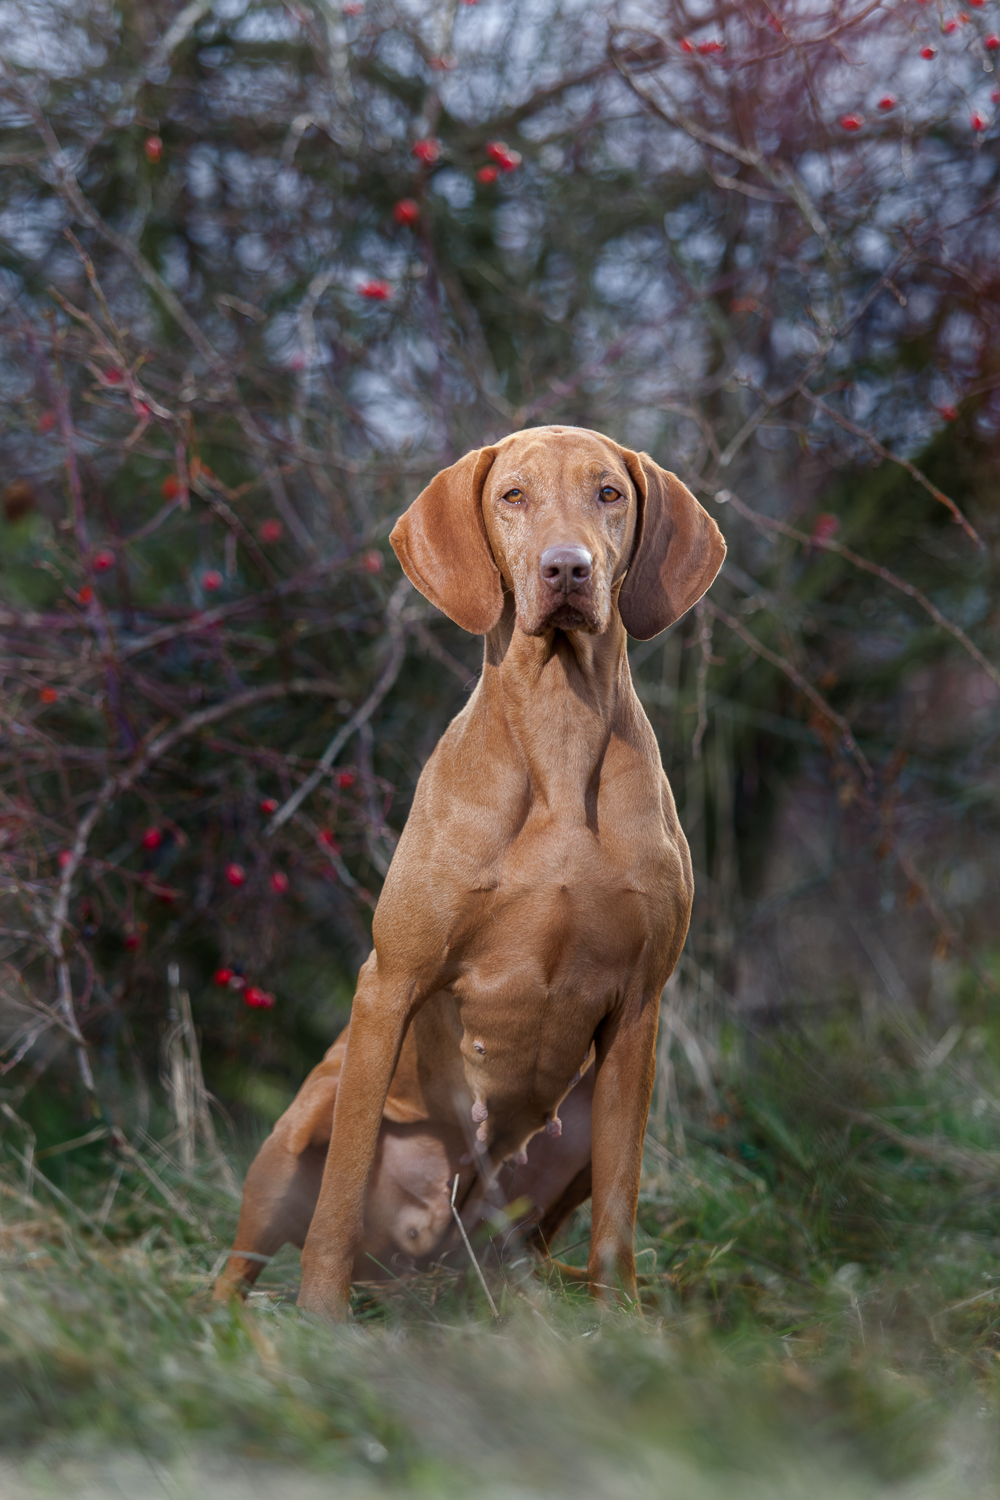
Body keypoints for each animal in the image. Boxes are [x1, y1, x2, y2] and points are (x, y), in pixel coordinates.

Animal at [214, 425, 725, 1317]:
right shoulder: (391, 983)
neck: (558, 735)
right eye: (512, 495)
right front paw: (320, 1315)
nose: (567, 569)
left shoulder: (639, 1012)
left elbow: (619, 1212)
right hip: (297, 1129)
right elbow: (339, 1191)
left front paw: (623, 1321)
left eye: (608, 493)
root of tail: (419, 1269)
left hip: (565, 1142)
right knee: (243, 1261)